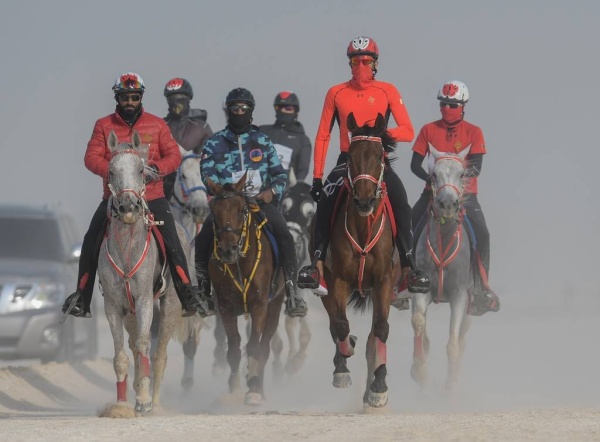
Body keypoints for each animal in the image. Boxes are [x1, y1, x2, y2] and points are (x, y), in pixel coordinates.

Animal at [98, 130, 182, 414]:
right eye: (111, 171)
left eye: (139, 169)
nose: (128, 207)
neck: (126, 251)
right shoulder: (114, 306)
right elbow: (121, 357)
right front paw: (121, 405)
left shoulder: (145, 300)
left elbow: (146, 346)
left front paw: (144, 400)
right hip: (130, 314)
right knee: (134, 349)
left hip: (171, 306)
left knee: (158, 354)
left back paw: (154, 403)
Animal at [205, 174, 284, 408]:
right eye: (214, 211)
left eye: (241, 209)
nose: (227, 250)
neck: (240, 263)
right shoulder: (225, 307)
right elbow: (233, 349)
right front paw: (234, 388)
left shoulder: (260, 306)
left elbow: (254, 347)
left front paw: (254, 389)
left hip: (276, 305)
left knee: (265, 348)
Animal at [314, 113, 398, 408]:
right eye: (350, 156)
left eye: (379, 155)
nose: (363, 201)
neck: (363, 229)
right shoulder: (336, 279)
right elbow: (340, 325)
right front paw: (342, 368)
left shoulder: (385, 280)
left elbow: (381, 330)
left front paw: (379, 388)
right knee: (335, 325)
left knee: (373, 336)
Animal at [412, 147, 474, 392]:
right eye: (434, 174)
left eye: (462, 174)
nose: (447, 204)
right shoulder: (421, 291)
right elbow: (419, 324)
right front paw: (420, 373)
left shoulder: (458, 296)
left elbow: (453, 344)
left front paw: (450, 388)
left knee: (463, 340)